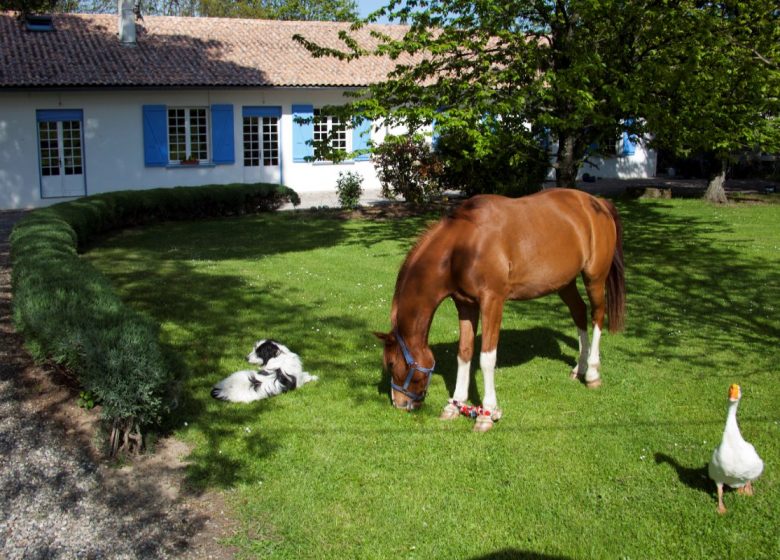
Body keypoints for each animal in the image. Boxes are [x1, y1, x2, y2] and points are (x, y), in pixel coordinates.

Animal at [374, 187, 624, 428]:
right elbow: (464, 353)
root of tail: (598, 203)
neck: (462, 246)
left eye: (392, 363)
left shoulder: (492, 302)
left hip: (594, 278)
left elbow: (486, 358)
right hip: (565, 283)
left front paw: (486, 414)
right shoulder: (465, 305)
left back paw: (592, 373)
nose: (400, 403)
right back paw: (579, 368)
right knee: (579, 312)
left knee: (597, 316)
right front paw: (454, 405)